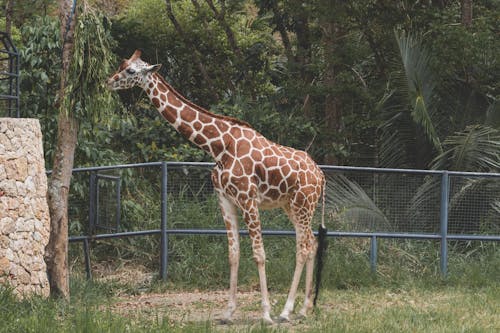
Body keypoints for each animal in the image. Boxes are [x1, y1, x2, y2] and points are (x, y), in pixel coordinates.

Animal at [107, 50, 326, 322]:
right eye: (122, 65)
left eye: (131, 71)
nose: (109, 81)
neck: (219, 146)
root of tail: (320, 175)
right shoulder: (225, 199)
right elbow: (233, 254)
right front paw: (228, 312)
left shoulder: (248, 199)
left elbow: (259, 254)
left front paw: (265, 314)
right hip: (292, 206)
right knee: (310, 243)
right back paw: (304, 308)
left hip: (303, 204)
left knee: (304, 247)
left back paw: (286, 311)